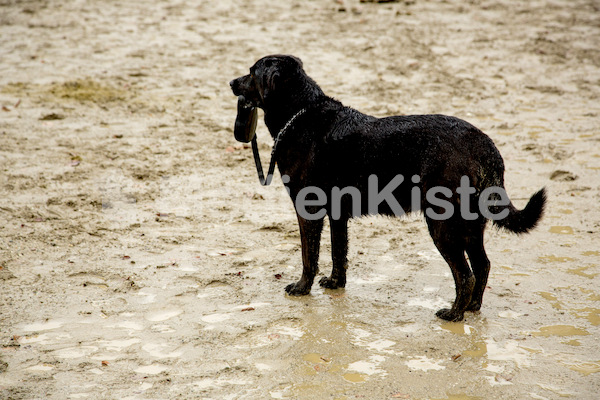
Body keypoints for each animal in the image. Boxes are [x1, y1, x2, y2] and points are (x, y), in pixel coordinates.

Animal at [229, 54, 544, 322]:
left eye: (251, 72)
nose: (231, 82)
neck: (300, 115)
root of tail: (484, 145)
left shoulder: (308, 210)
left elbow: (310, 256)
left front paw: (301, 287)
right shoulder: (337, 215)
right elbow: (339, 253)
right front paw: (335, 284)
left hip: (442, 224)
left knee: (465, 274)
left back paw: (454, 313)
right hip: (471, 224)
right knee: (483, 265)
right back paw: (473, 307)